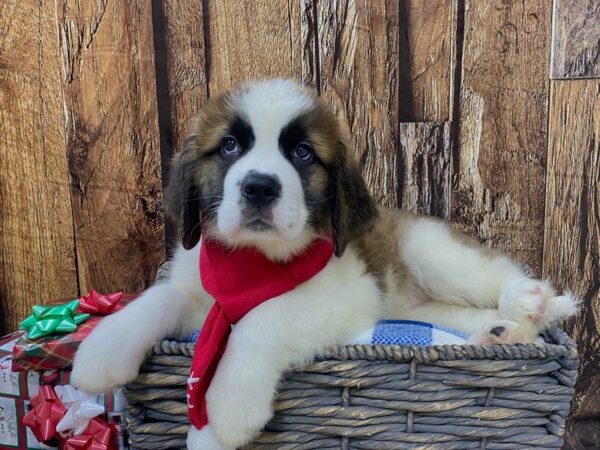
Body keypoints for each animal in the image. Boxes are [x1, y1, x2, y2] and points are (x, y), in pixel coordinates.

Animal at [70, 79, 576, 448]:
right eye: (230, 146)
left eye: (302, 153)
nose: (259, 187)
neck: (257, 261)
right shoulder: (203, 292)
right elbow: (161, 297)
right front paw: (103, 348)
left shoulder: (345, 295)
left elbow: (264, 317)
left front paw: (229, 406)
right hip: (416, 308)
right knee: (464, 314)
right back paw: (498, 332)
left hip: (432, 251)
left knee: (500, 277)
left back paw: (528, 301)